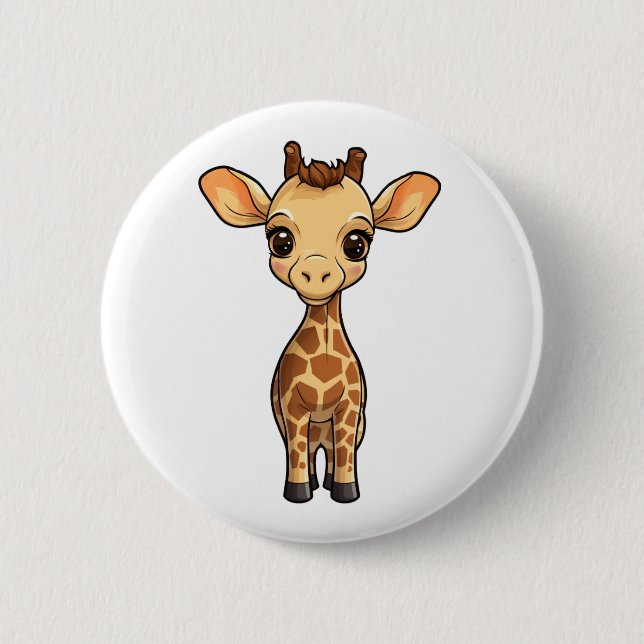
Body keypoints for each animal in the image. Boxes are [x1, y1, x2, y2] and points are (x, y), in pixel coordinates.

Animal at [199, 141, 440, 503]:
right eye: (280, 240)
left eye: (357, 244)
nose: (315, 274)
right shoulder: (293, 410)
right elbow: (298, 453)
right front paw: (298, 493)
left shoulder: (350, 409)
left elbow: (346, 455)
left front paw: (345, 493)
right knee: (308, 451)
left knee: (333, 452)